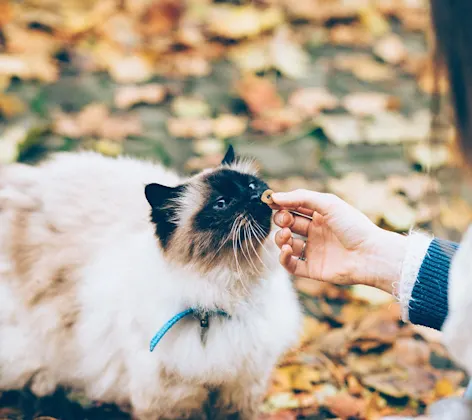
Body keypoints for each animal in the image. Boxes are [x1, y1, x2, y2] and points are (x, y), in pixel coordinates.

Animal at [0, 146, 302, 418]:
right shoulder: (171, 400)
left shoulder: (241, 389)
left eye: (251, 185)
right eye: (222, 203)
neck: (225, 297)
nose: (255, 196)